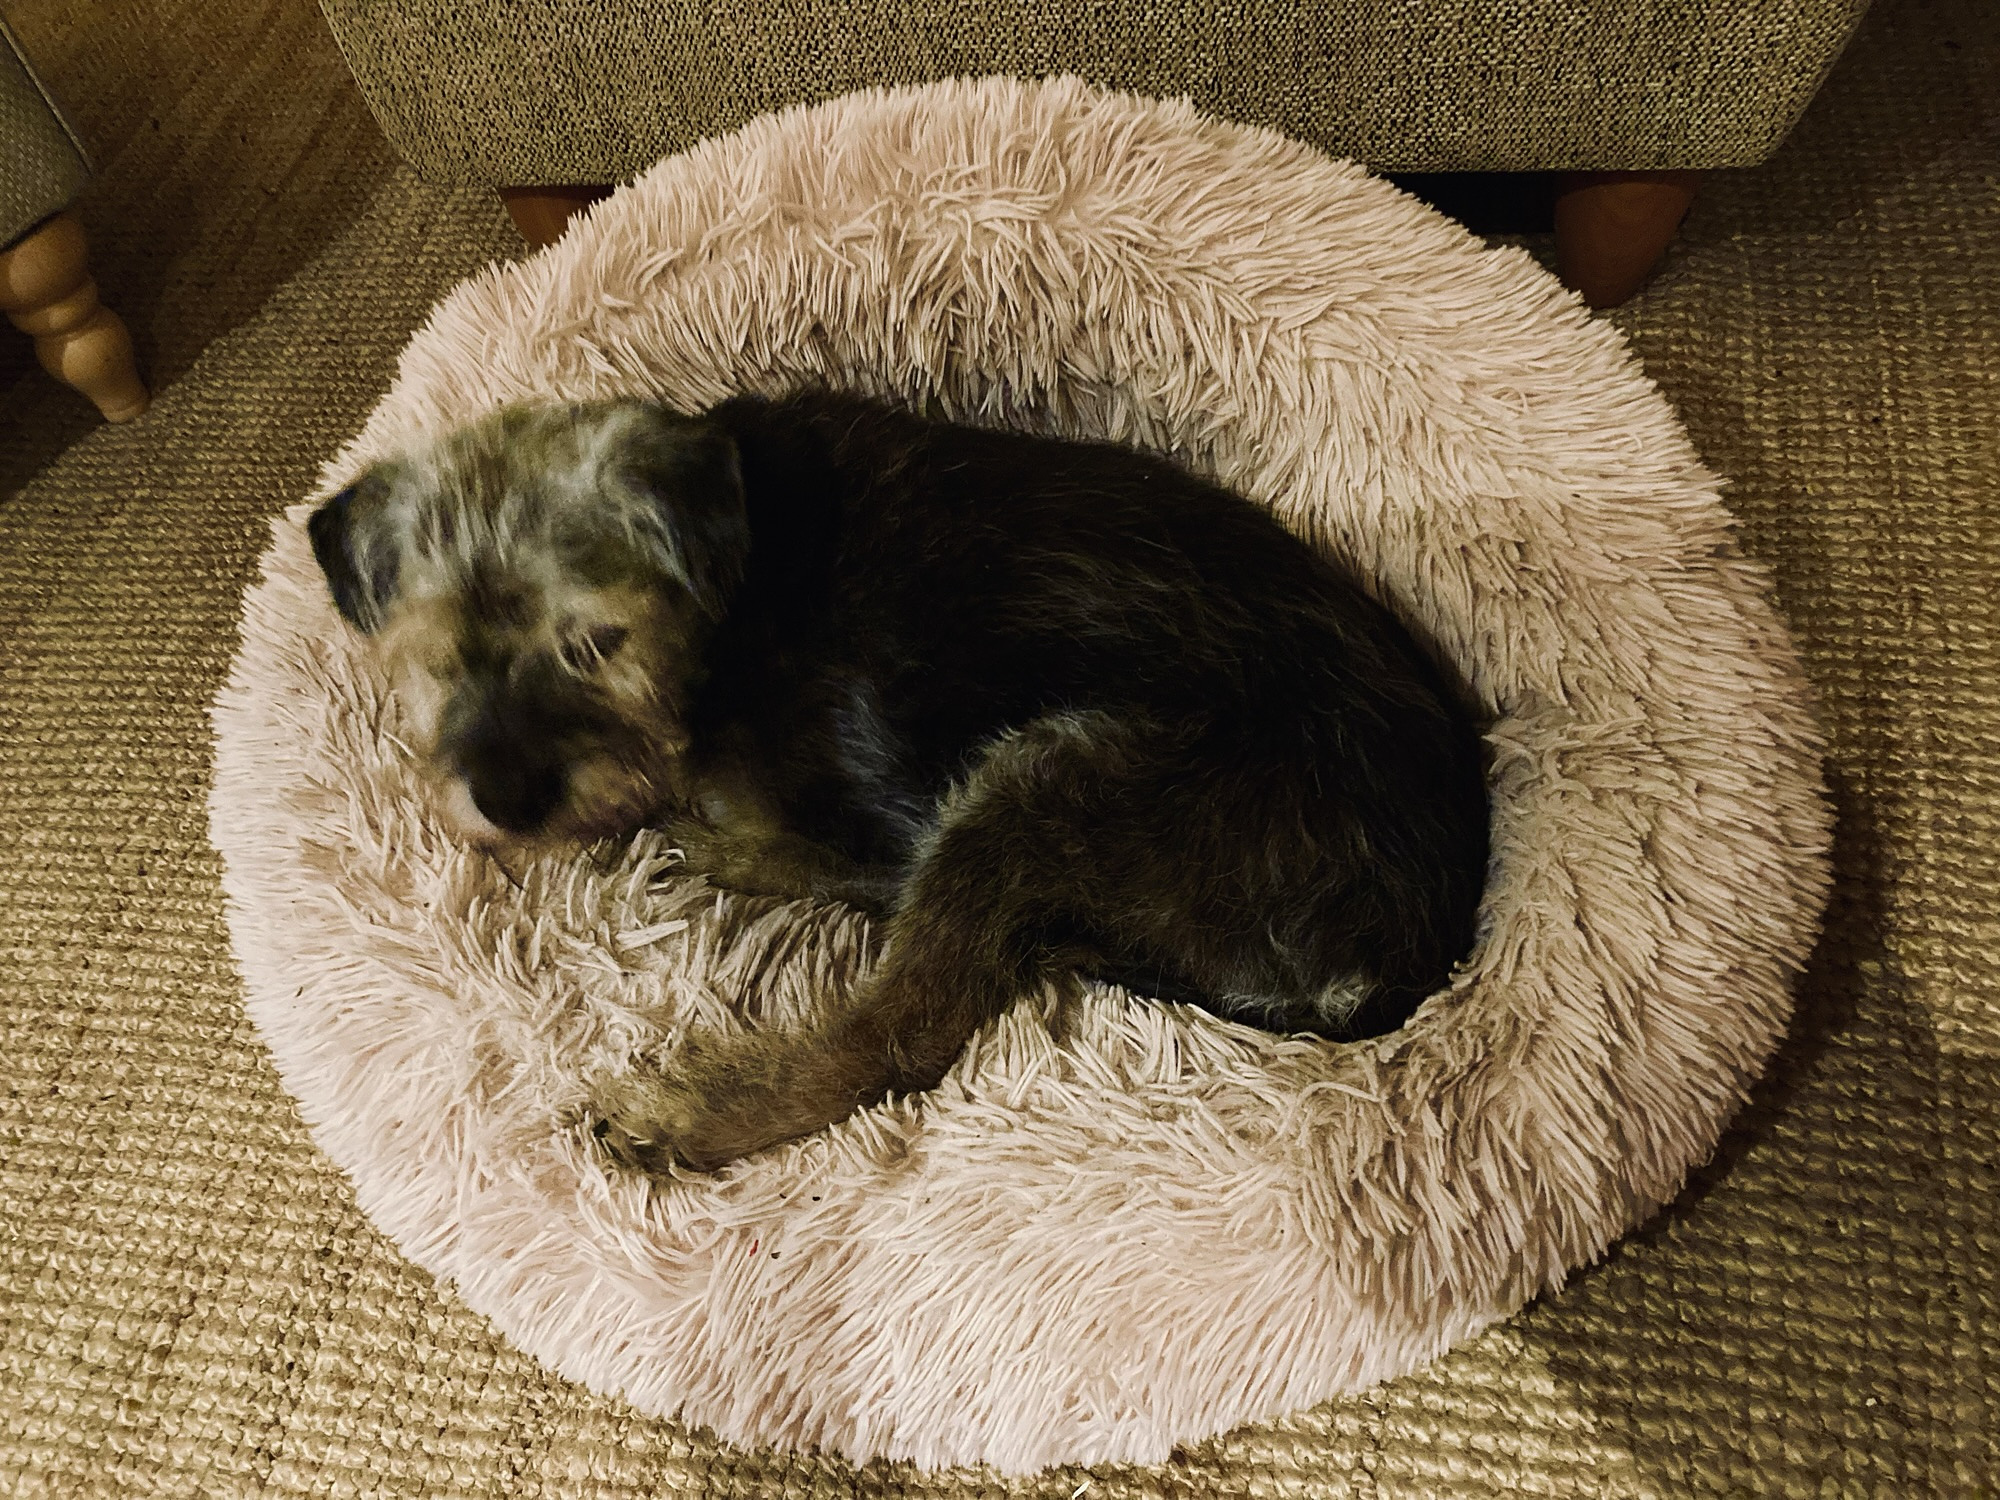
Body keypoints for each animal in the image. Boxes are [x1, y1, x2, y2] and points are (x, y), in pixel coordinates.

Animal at [308, 390, 1489, 1171]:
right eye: (427, 657)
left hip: (1051, 778)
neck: (730, 592)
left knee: (896, 1035)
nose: (506, 799)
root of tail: (1413, 948)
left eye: (594, 641)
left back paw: (686, 1110)